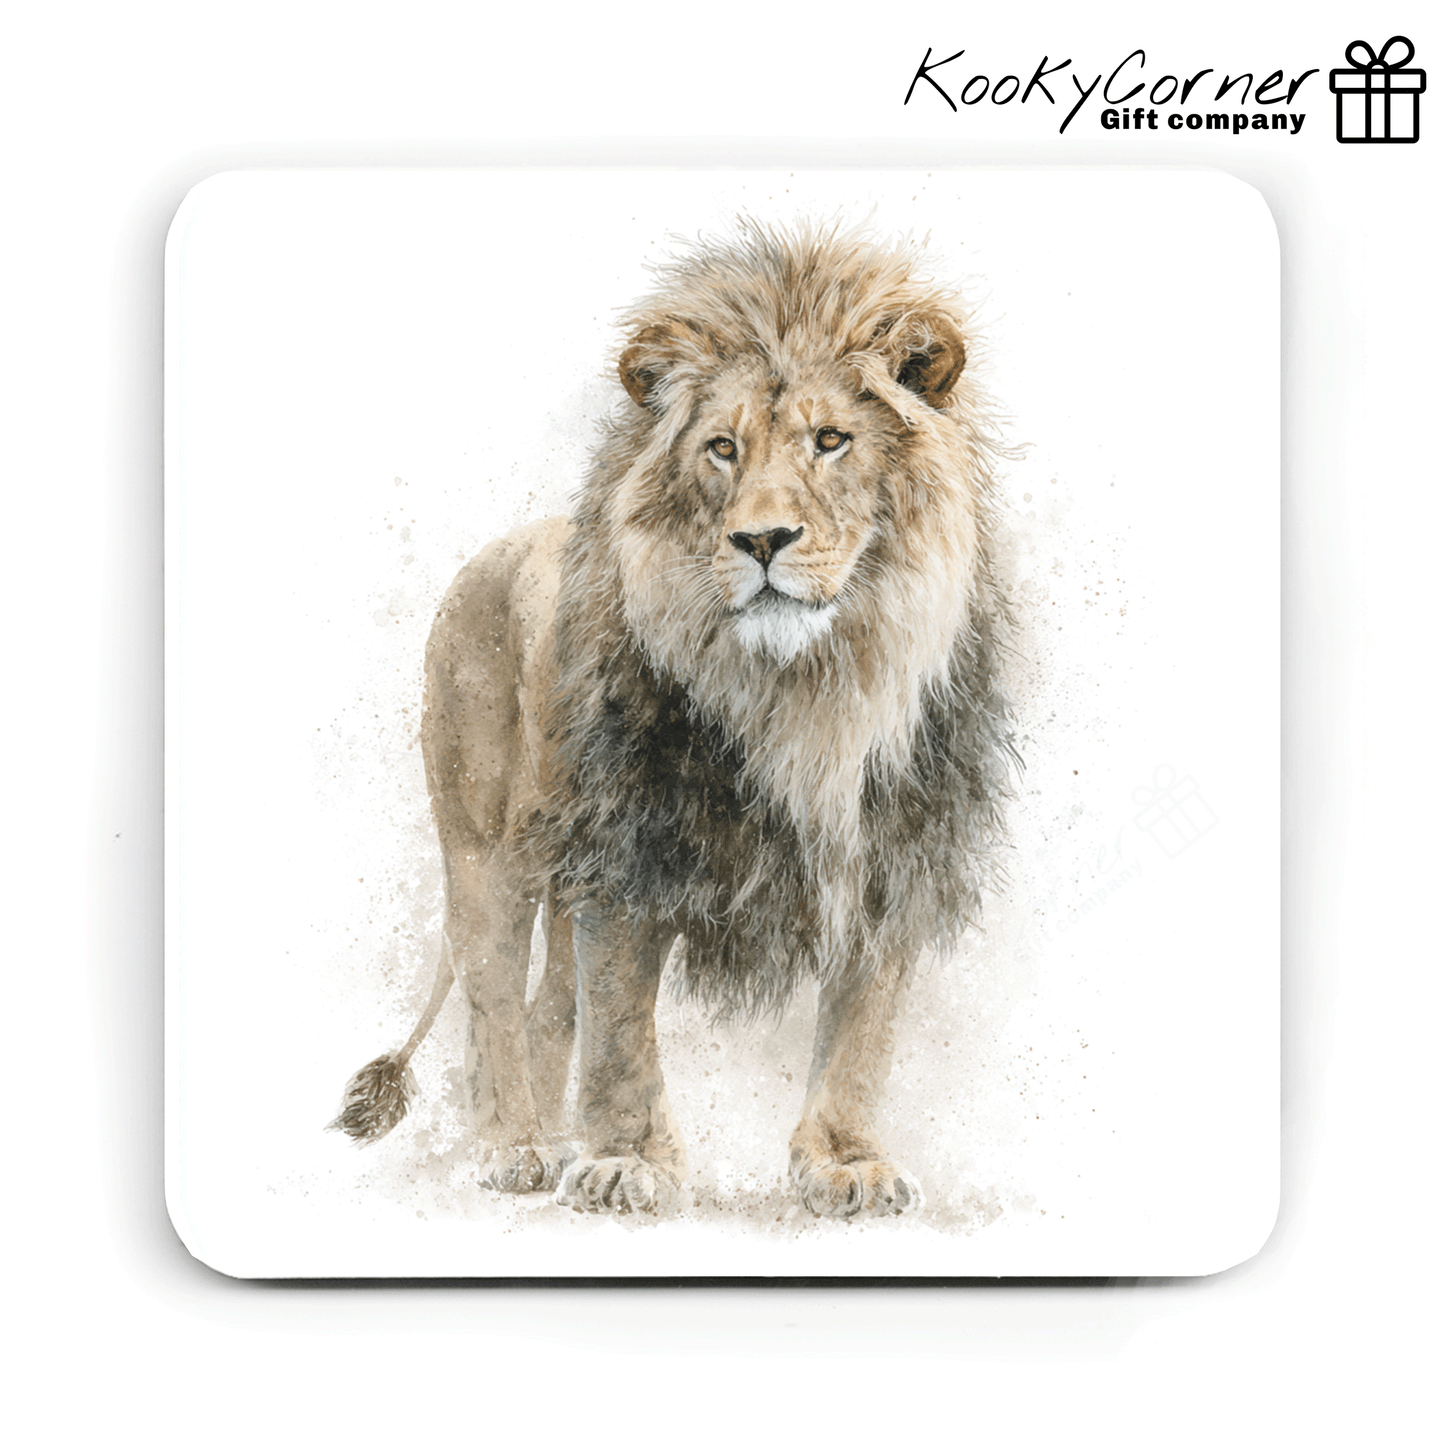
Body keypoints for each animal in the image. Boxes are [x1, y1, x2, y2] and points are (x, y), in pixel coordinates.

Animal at [330, 220, 1016, 1219]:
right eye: (722, 448)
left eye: (831, 440)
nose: (761, 540)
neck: (807, 690)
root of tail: (495, 549)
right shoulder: (627, 849)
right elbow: (621, 1025)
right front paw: (626, 1161)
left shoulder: (891, 852)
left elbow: (860, 1030)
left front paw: (842, 1163)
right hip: (485, 846)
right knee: (492, 995)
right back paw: (513, 1145)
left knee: (548, 1007)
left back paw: (548, 1133)